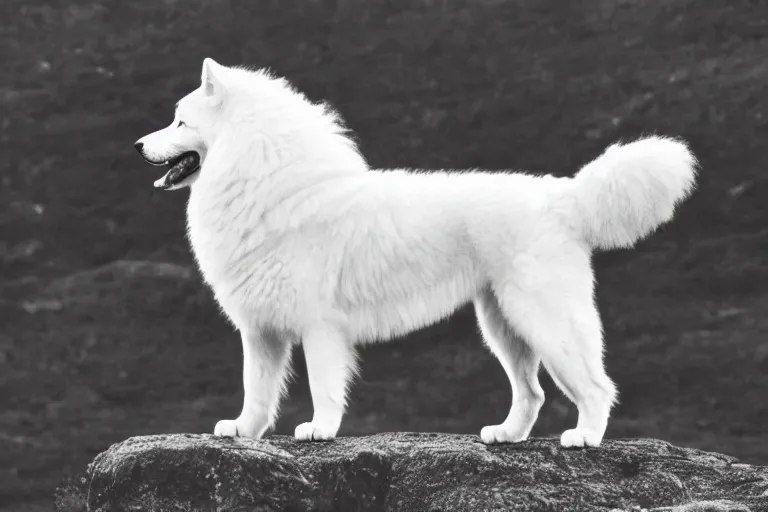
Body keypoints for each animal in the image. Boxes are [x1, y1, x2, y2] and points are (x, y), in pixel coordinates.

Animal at [135, 58, 700, 446]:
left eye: (180, 122)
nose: (139, 145)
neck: (269, 183)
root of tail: (565, 196)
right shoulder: (261, 332)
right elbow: (256, 390)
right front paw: (242, 431)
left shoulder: (319, 327)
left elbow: (322, 385)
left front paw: (319, 429)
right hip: (503, 325)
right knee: (533, 392)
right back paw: (506, 435)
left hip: (544, 318)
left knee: (597, 386)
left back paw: (585, 438)